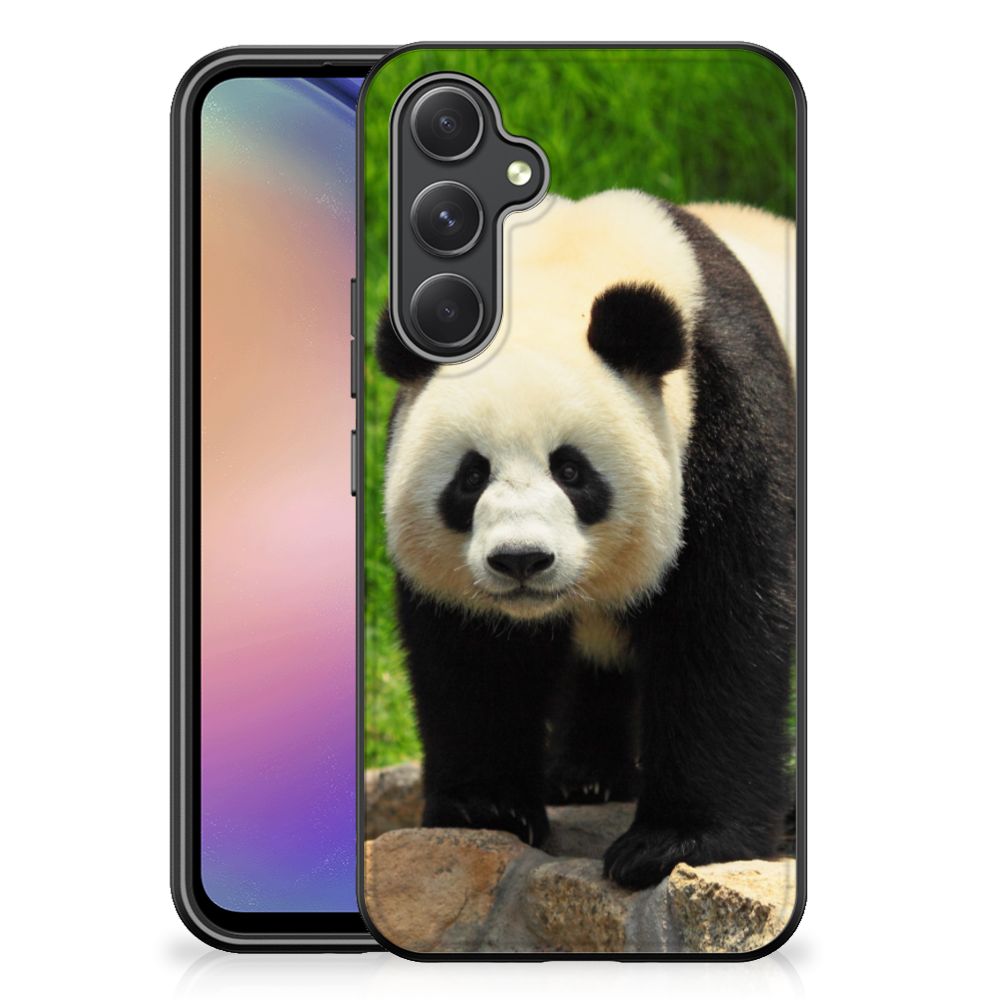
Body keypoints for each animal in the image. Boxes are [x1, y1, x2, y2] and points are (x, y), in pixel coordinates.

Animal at [374, 190, 796, 890]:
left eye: (571, 471)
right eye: (471, 476)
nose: (521, 560)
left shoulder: (726, 414)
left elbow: (723, 626)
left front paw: (674, 843)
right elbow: (474, 654)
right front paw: (485, 808)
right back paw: (585, 777)